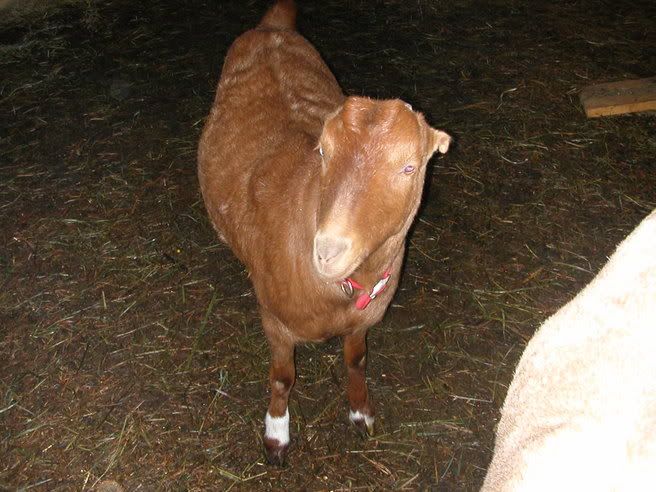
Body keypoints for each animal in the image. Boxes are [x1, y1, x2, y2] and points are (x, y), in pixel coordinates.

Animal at [197, 0, 451, 465]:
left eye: (409, 167)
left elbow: (357, 361)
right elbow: (282, 378)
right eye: (322, 152)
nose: (328, 250)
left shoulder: (363, 322)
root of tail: (273, 28)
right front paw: (276, 435)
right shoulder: (275, 321)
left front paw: (360, 412)